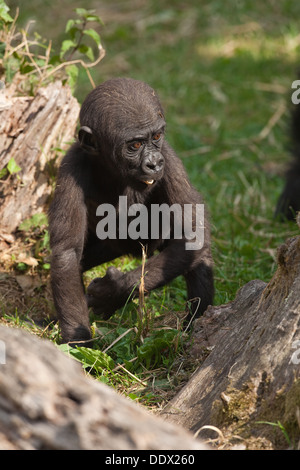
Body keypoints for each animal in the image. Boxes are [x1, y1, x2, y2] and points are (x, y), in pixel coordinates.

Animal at [48, 78, 213, 346]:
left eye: (156, 136)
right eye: (134, 145)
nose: (154, 163)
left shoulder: (169, 158)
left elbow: (193, 235)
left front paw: (114, 292)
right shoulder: (71, 165)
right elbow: (67, 255)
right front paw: (78, 341)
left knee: (197, 253)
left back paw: (195, 324)